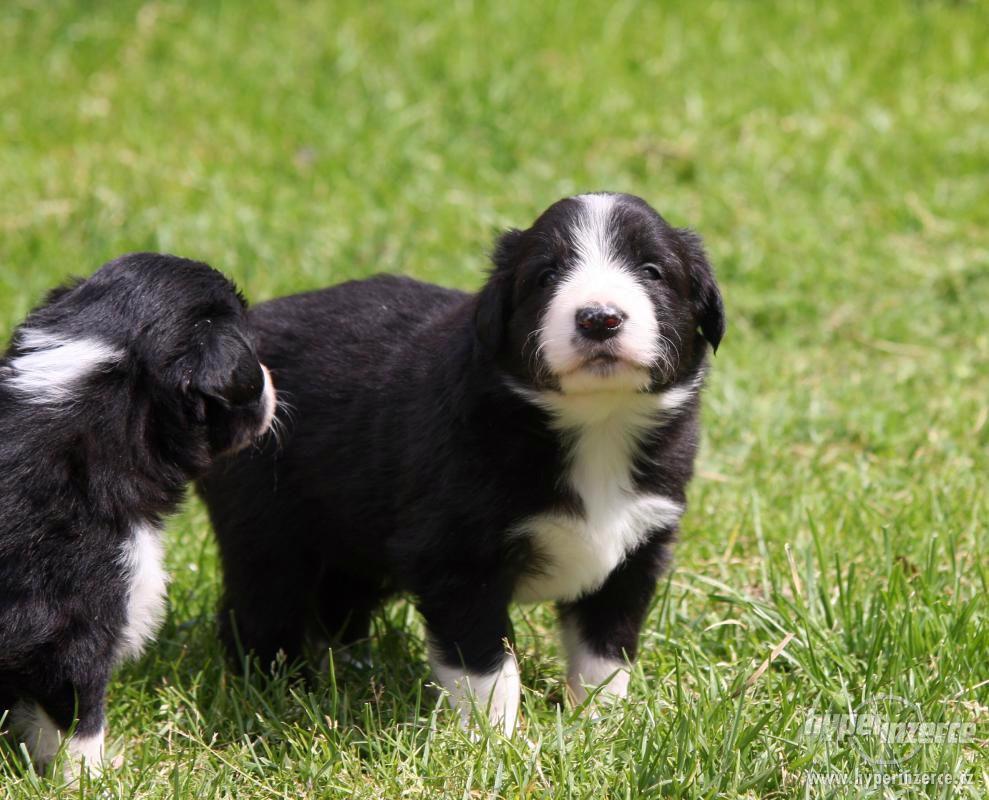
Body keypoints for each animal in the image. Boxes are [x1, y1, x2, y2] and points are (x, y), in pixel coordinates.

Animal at [203, 192, 724, 732]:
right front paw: (496, 738)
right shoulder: (457, 554)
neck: (596, 424)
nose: (599, 318)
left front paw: (601, 723)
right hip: (266, 522)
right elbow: (485, 663)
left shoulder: (636, 549)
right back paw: (281, 687)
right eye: (545, 276)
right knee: (261, 608)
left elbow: (606, 649)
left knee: (339, 597)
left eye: (652, 271)